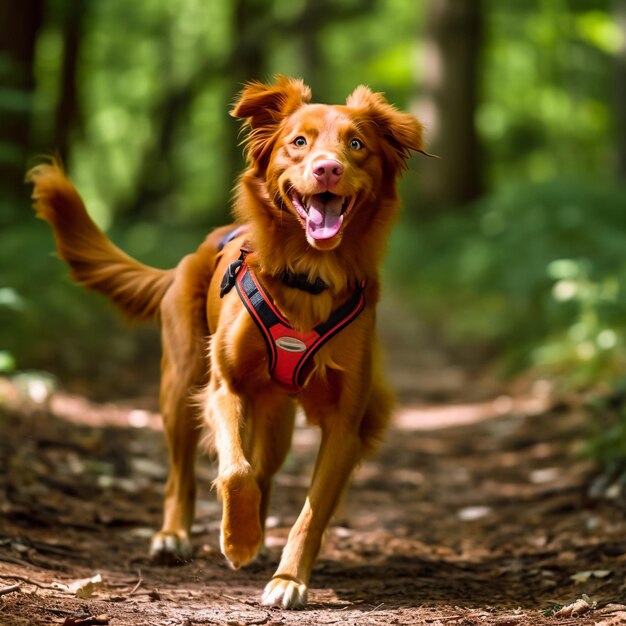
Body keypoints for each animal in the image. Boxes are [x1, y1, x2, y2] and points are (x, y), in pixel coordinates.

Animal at [25, 75, 424, 608]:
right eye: (299, 142)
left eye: (356, 145)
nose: (328, 168)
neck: (308, 277)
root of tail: (192, 254)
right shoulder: (225, 387)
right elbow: (235, 471)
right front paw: (238, 540)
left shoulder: (346, 421)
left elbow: (310, 510)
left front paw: (287, 577)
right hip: (179, 387)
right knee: (182, 473)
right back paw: (174, 535)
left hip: (275, 419)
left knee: (266, 471)